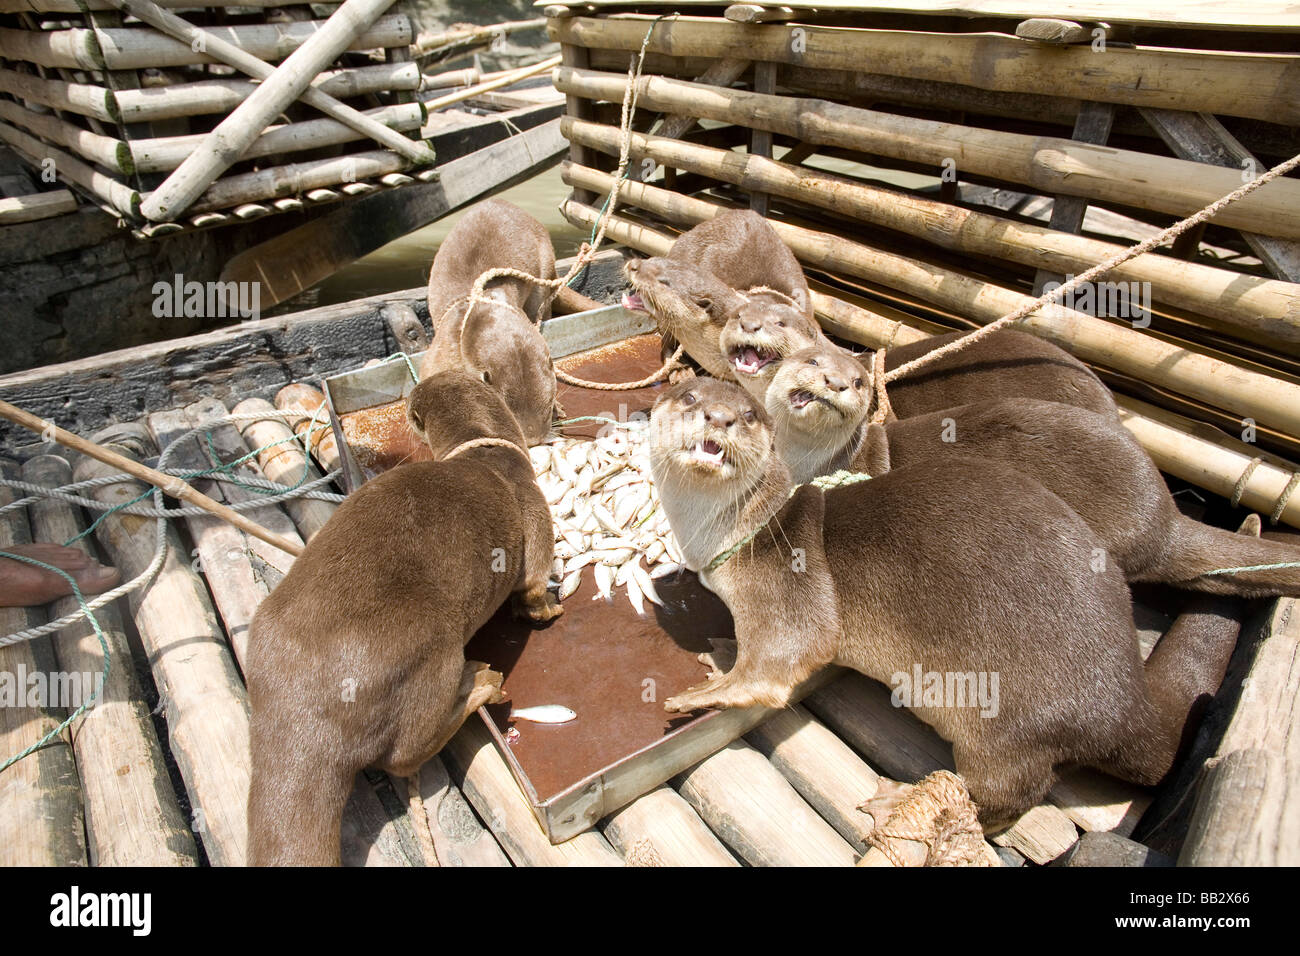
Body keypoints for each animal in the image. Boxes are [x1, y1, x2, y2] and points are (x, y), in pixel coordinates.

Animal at [245, 369, 561, 863]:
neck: (485, 452)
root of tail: (303, 708)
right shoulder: (532, 507)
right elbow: (530, 585)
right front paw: (548, 605)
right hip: (429, 656)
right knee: (403, 756)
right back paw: (481, 682)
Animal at [650, 374, 1237, 832]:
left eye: (749, 415)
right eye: (688, 396)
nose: (720, 417)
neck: (749, 530)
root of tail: (1127, 702)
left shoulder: (788, 586)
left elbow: (782, 658)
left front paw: (704, 694)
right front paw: (722, 652)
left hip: (1010, 725)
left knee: (1008, 796)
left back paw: (902, 802)